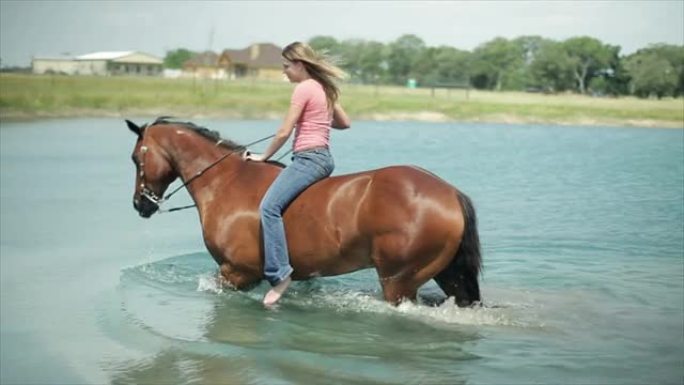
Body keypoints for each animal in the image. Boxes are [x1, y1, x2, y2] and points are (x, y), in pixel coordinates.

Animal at [127, 117, 480, 306]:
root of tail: (449, 192)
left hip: (399, 281)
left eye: (135, 158)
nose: (139, 204)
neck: (227, 182)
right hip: (448, 274)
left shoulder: (236, 272)